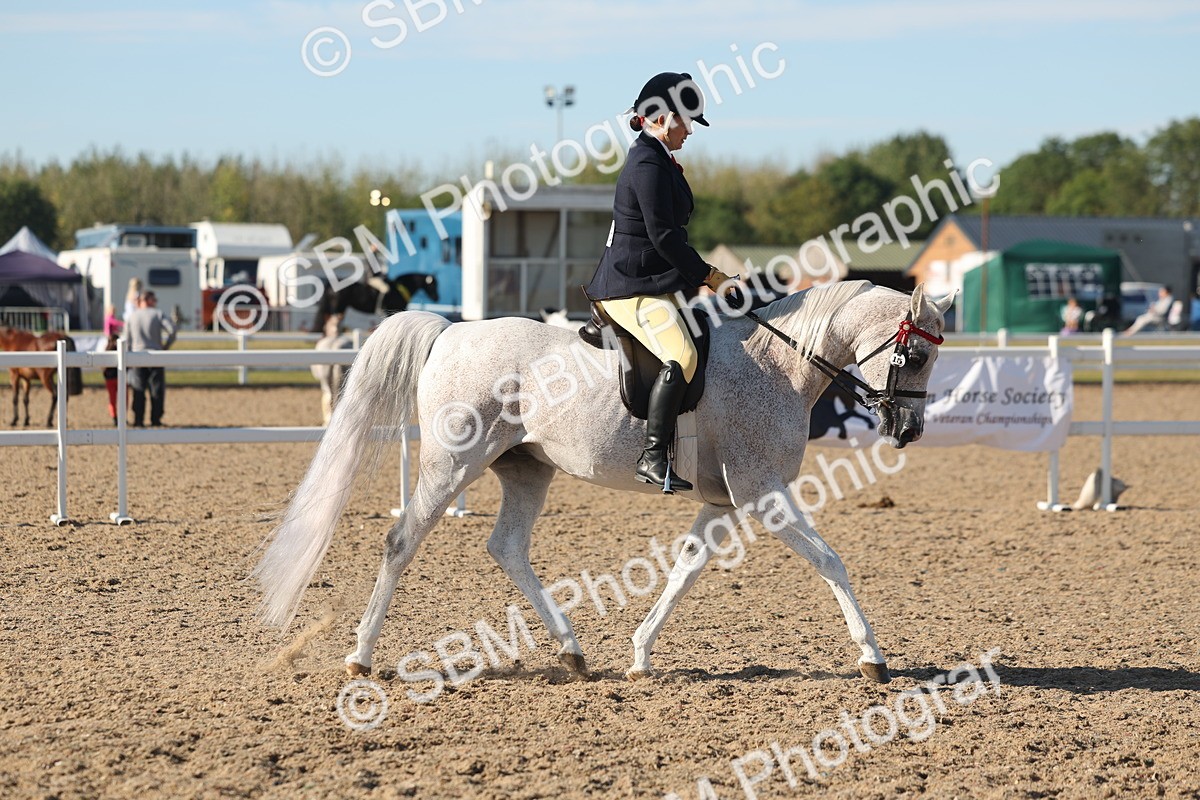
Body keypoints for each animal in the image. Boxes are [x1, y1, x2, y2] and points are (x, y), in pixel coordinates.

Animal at [254, 281, 953, 684]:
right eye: (917, 354)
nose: (909, 429)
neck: (777, 363)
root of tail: (451, 330)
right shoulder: (762, 493)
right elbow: (831, 561)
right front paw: (872, 657)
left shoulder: (725, 500)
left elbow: (686, 569)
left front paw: (641, 654)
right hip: (454, 461)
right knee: (402, 541)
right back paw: (362, 656)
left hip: (526, 468)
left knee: (507, 548)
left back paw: (572, 653)